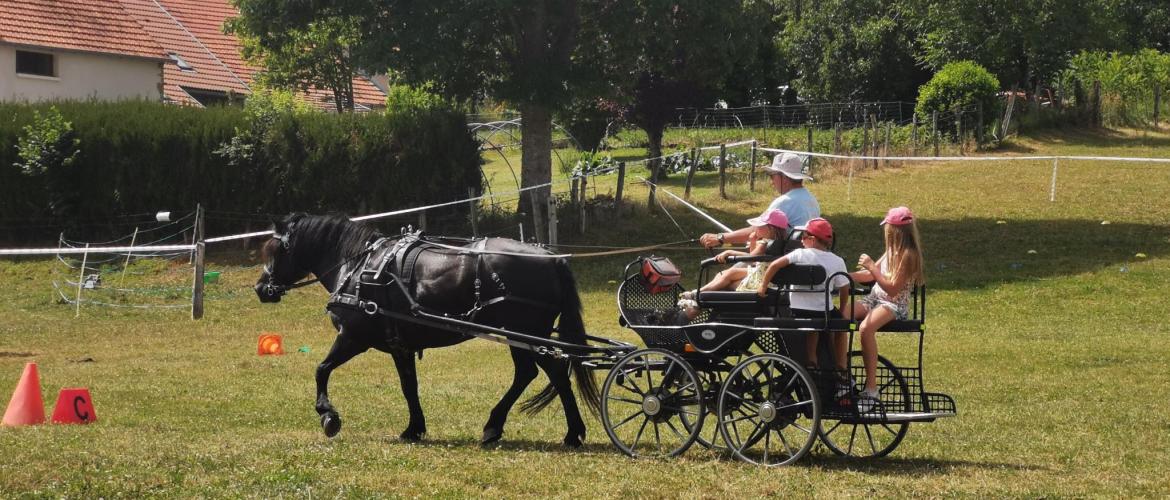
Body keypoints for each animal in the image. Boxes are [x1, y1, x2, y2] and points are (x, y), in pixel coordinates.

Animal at [257, 213, 603, 447]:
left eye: (277, 250)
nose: (262, 288)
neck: (356, 267)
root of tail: (552, 258)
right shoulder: (400, 346)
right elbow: (409, 386)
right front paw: (414, 428)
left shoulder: (353, 337)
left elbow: (321, 369)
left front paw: (328, 415)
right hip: (521, 334)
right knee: (533, 373)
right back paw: (509, 427)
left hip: (524, 332)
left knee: (550, 372)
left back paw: (562, 431)